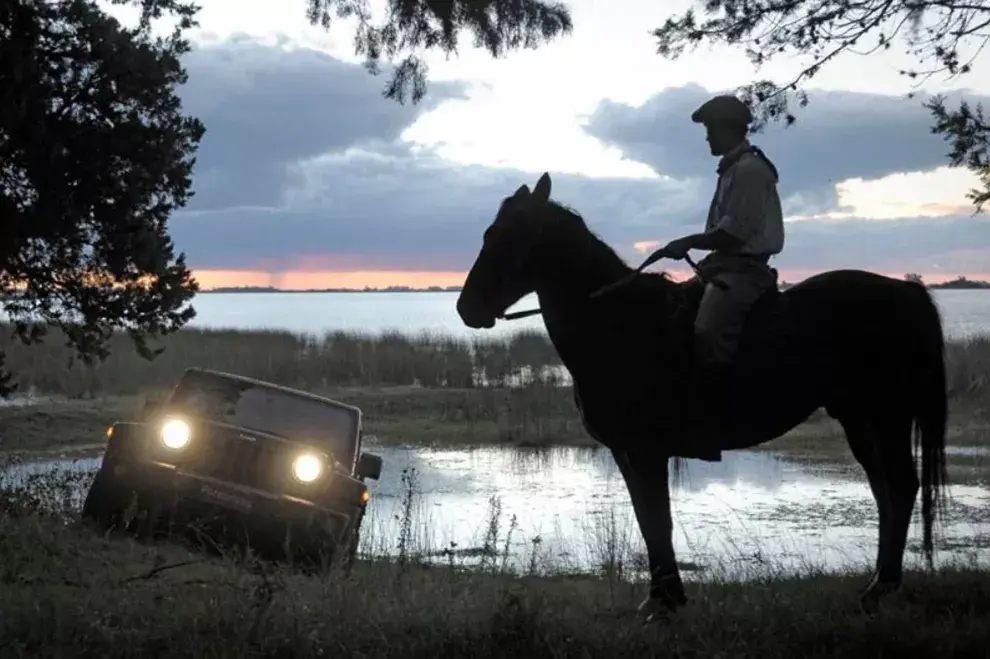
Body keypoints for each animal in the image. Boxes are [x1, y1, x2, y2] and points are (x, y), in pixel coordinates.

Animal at [458, 173, 952, 620]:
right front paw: (664, 595)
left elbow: (658, 517)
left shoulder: (647, 450)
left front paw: (663, 601)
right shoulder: (626, 451)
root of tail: (907, 290)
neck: (618, 324)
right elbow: (647, 517)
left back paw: (881, 588)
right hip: (859, 419)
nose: (467, 308)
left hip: (887, 418)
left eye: (506, 235)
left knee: (900, 487)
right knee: (884, 491)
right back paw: (875, 586)